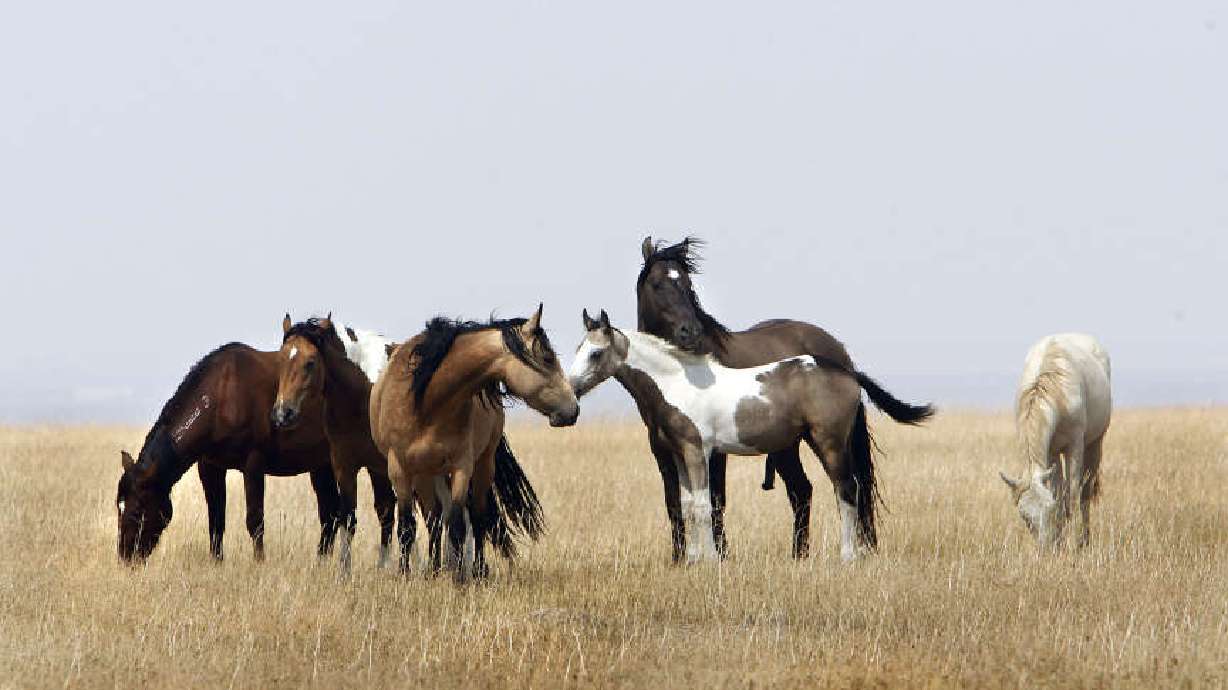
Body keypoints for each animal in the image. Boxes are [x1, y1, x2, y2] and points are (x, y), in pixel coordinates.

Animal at [116, 342, 347, 563]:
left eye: (137, 510)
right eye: (119, 506)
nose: (126, 557)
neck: (222, 394)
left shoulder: (253, 465)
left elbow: (255, 520)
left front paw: (259, 563)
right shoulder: (210, 467)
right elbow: (216, 520)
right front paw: (216, 562)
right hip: (321, 465)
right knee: (330, 513)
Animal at [272, 315, 399, 573]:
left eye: (311, 362)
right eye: (280, 359)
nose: (282, 414)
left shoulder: (383, 466)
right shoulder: (345, 465)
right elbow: (350, 518)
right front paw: (345, 572)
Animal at [369, 305, 578, 583]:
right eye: (547, 358)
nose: (574, 409)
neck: (426, 402)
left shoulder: (462, 466)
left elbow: (458, 524)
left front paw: (459, 579)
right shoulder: (399, 469)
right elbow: (406, 527)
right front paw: (404, 575)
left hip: (482, 465)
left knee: (477, 517)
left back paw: (477, 571)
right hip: (425, 473)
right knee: (434, 519)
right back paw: (433, 571)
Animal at [634, 236, 934, 562]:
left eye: (688, 285)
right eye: (657, 284)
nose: (690, 332)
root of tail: (840, 356)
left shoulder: (711, 448)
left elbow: (716, 498)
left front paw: (720, 555)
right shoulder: (662, 449)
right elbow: (674, 503)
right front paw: (679, 558)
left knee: (837, 488)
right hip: (787, 444)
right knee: (802, 490)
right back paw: (799, 555)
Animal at [1000, 333, 1112, 549]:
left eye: (1048, 509)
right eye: (1025, 518)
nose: (1045, 548)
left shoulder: (1074, 446)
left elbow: (1073, 494)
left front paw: (1074, 543)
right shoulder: (1051, 452)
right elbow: (1059, 494)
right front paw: (1059, 542)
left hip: (1095, 444)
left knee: (1085, 491)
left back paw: (1085, 540)